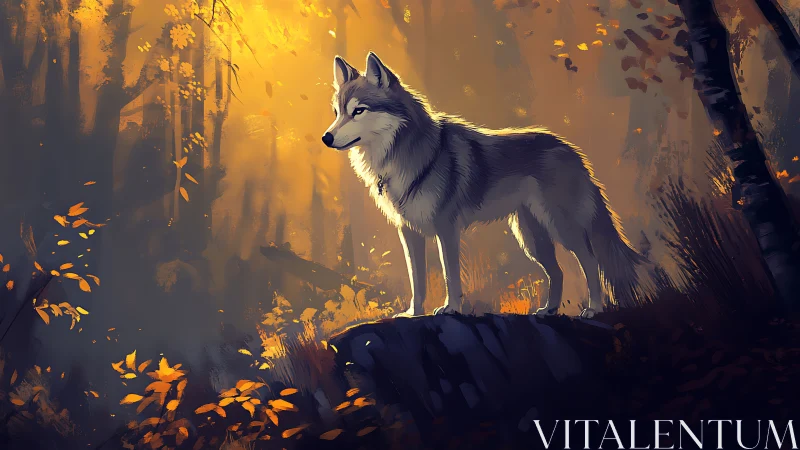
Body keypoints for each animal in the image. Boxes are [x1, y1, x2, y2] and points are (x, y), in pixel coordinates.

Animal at [322, 52, 655, 318]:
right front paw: (413, 314)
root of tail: (570, 149)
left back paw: (594, 308)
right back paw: (548, 310)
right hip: (530, 238)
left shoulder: (446, 229)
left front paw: (451, 308)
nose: (326, 137)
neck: (404, 155)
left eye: (359, 110)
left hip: (562, 229)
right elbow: (417, 280)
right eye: (337, 113)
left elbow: (450, 276)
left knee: (590, 260)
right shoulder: (408, 232)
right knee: (558, 272)